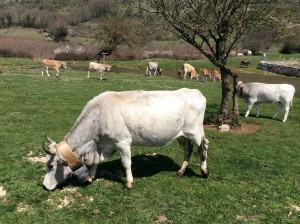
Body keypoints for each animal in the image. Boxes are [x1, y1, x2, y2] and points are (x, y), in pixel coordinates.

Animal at [42, 88, 210, 190]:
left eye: (50, 166)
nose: (44, 186)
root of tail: (194, 91)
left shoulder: (122, 142)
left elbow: (126, 163)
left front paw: (129, 182)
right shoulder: (101, 145)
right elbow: (95, 162)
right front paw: (90, 177)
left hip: (194, 131)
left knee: (203, 146)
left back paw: (204, 171)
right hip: (182, 135)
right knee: (187, 149)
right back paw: (181, 171)